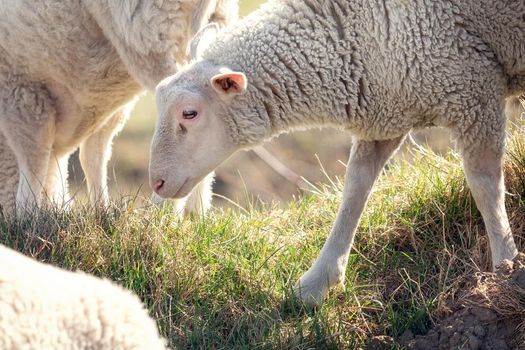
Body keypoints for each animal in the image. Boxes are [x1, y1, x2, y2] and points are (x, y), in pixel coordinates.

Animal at [0, 0, 237, 213]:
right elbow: (93, 154)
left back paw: (161, 210)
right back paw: (195, 214)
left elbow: (34, 158)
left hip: (148, 32)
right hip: (213, 26)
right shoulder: (103, 104)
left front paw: (26, 216)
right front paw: (99, 210)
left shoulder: (20, 94)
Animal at [149, 0, 524, 304]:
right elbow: (354, 192)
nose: (156, 183)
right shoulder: (383, 117)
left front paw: (505, 264)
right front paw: (317, 282)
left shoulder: (474, 94)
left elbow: (485, 186)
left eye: (189, 113)